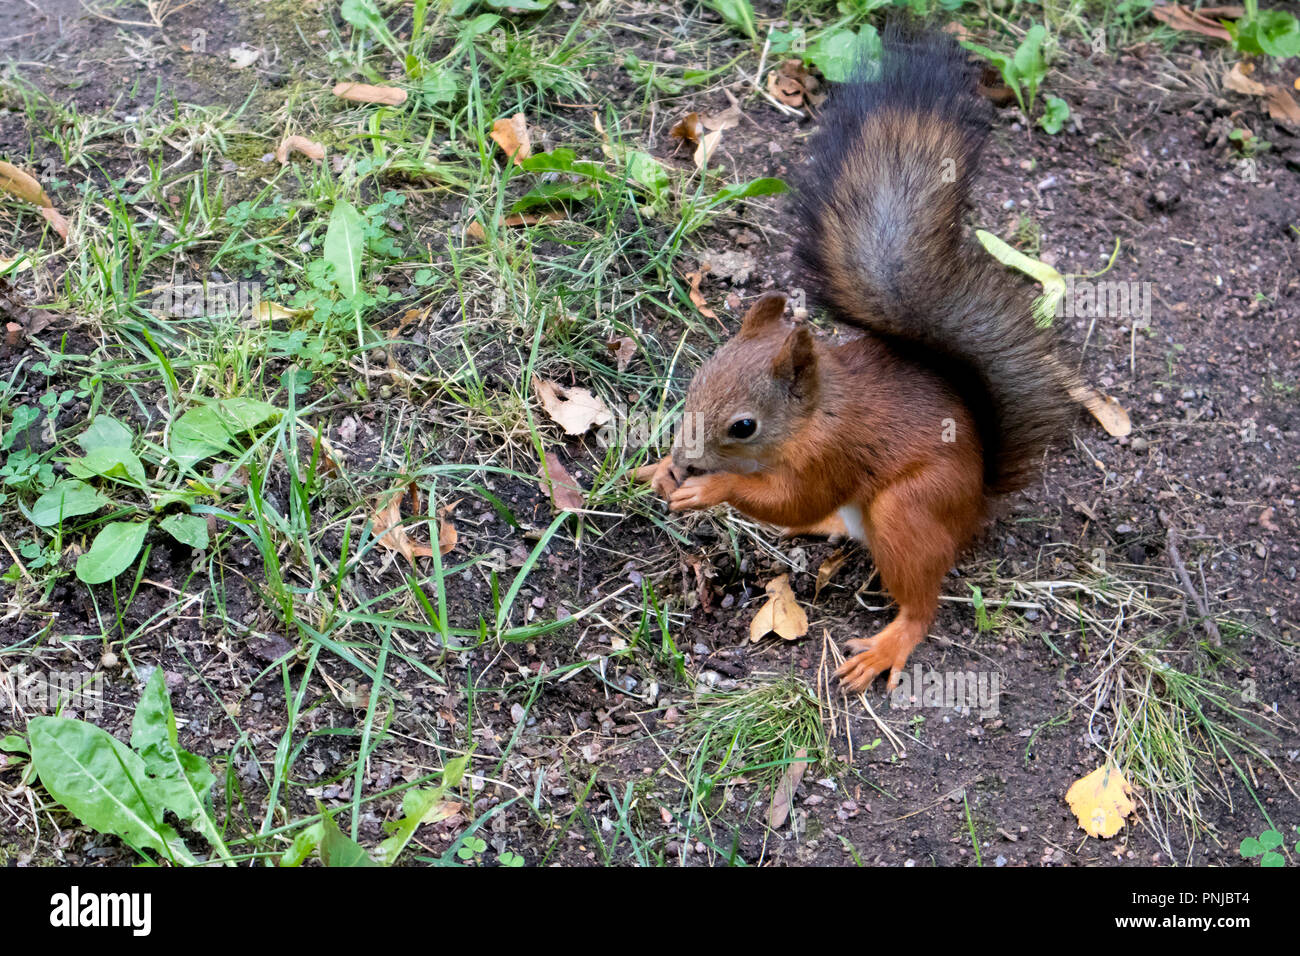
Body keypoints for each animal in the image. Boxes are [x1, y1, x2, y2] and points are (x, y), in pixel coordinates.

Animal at [634, 24, 1071, 697]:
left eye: (744, 426)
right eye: (695, 384)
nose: (685, 461)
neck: (815, 413)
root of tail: (975, 507)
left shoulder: (831, 454)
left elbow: (787, 495)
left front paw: (710, 489)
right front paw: (659, 471)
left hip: (908, 511)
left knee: (920, 603)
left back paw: (888, 645)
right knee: (833, 523)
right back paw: (818, 531)